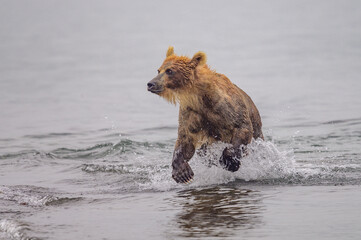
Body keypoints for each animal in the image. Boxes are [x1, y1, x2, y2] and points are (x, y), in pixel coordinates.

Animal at [146, 46, 262, 183]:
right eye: (158, 70)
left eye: (170, 71)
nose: (151, 84)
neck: (200, 97)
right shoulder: (190, 113)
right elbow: (185, 139)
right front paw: (182, 173)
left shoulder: (226, 108)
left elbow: (242, 127)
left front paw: (229, 162)